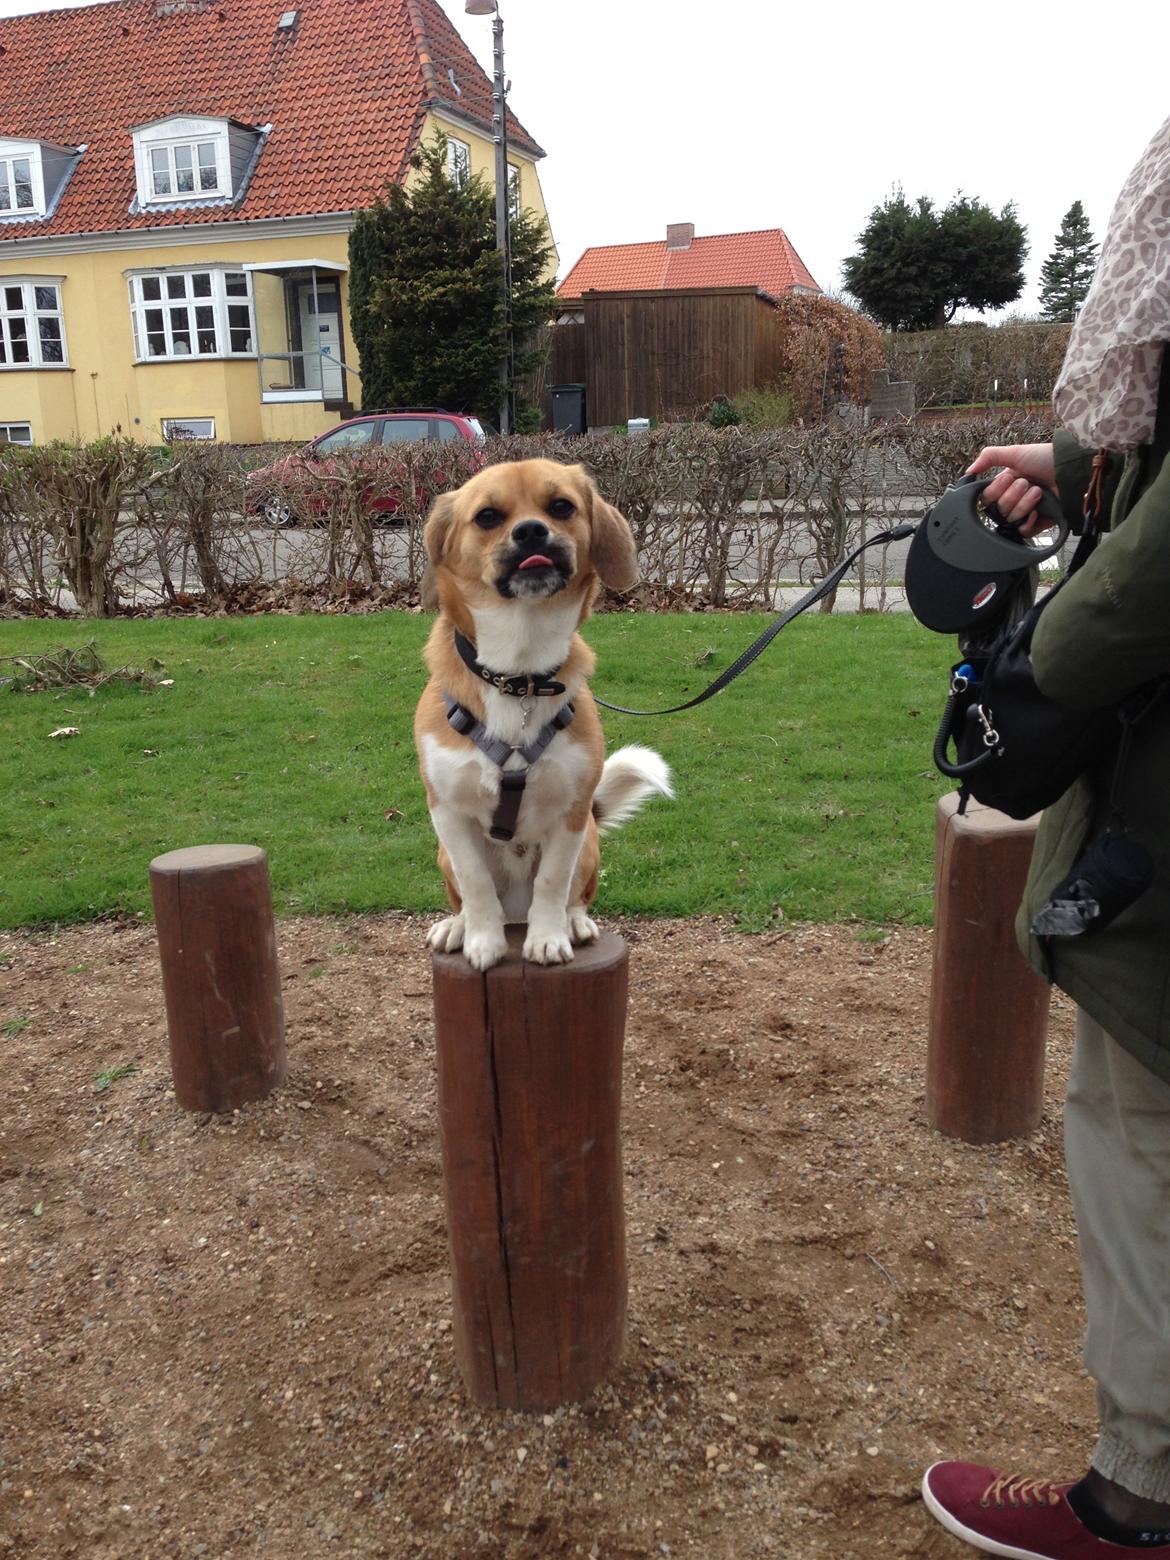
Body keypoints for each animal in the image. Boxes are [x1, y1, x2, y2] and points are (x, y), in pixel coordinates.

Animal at [414, 455, 673, 967]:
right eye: (488, 516)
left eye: (561, 507)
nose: (532, 531)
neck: (519, 675)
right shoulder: (447, 811)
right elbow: (475, 883)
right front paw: (482, 940)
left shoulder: (570, 814)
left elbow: (553, 881)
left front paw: (548, 937)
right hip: (441, 853)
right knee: (467, 894)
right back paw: (459, 926)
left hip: (589, 841)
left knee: (572, 894)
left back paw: (572, 922)